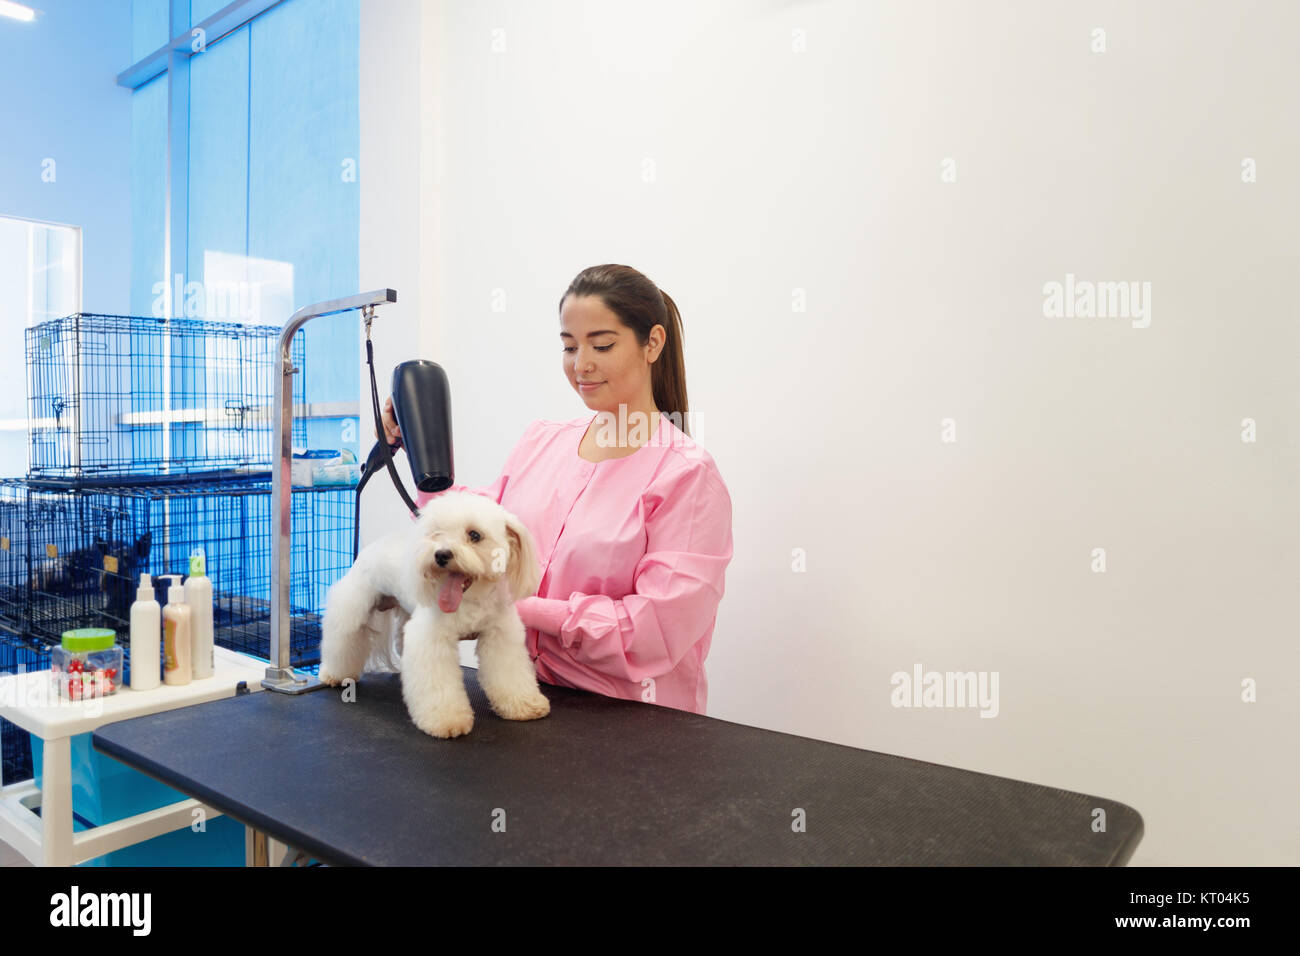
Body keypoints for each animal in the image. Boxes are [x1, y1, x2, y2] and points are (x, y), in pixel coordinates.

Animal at [323, 494, 553, 738]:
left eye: (475, 535)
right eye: (436, 533)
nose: (441, 554)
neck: (470, 599)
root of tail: (372, 546)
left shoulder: (500, 635)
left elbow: (509, 673)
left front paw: (524, 704)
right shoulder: (432, 639)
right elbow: (438, 682)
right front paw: (445, 719)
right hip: (351, 606)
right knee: (343, 640)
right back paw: (334, 674)